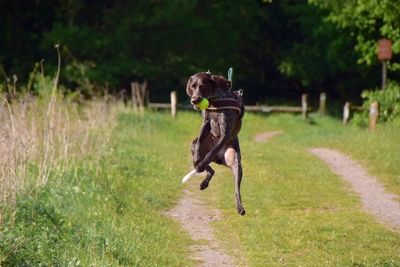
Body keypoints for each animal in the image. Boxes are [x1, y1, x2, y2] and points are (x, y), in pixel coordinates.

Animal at [186, 72, 245, 217]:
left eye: (202, 86)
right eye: (193, 86)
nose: (194, 100)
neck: (215, 100)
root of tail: (218, 159)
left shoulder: (225, 132)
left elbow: (211, 151)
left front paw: (201, 162)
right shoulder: (206, 122)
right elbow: (200, 142)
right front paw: (197, 159)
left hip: (235, 161)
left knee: (236, 190)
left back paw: (240, 207)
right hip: (193, 143)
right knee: (210, 170)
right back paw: (203, 180)